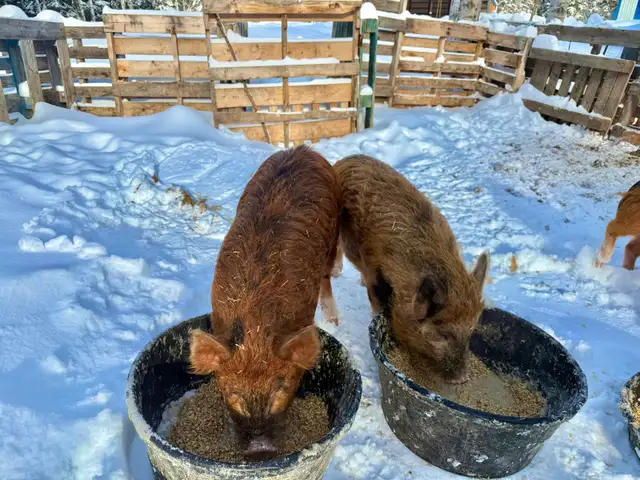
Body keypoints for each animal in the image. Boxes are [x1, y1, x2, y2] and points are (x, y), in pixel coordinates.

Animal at [189, 146, 341, 460]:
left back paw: (334, 318)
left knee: (328, 275)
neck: (255, 325)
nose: (260, 450)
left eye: (281, 389)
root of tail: (301, 149)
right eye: (232, 393)